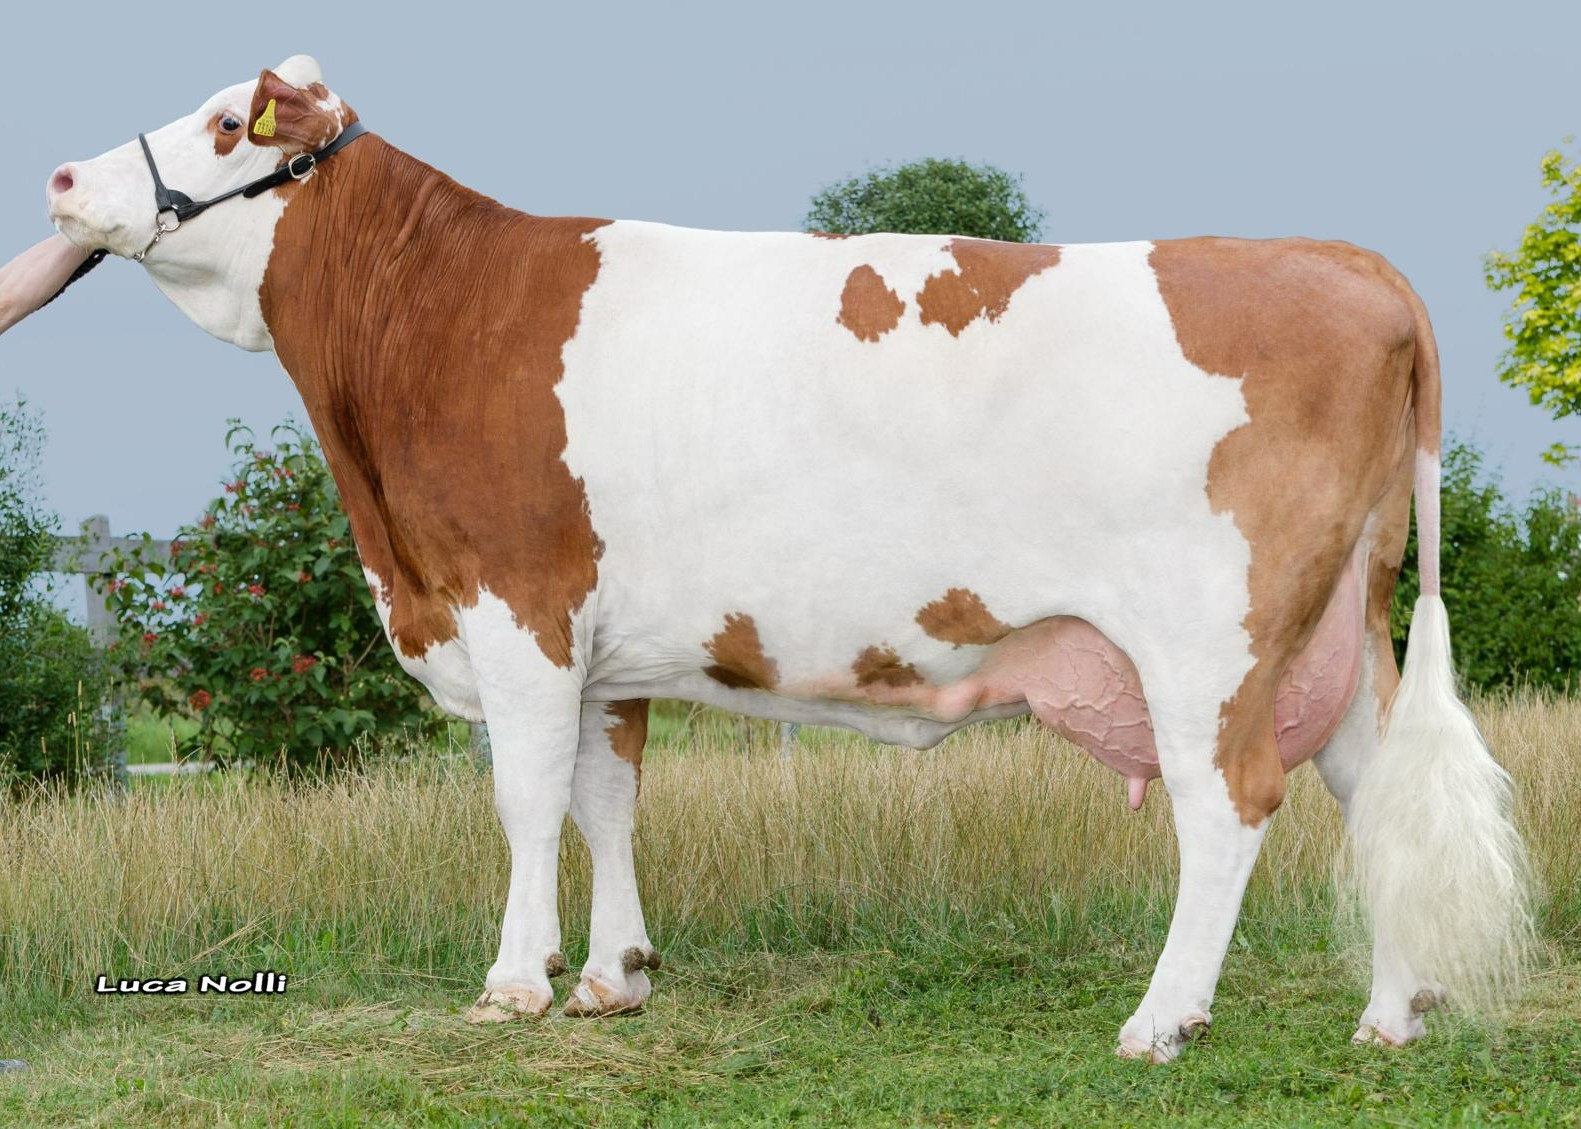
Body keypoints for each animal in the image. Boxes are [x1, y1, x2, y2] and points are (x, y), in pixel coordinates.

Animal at [22, 55, 1531, 1062]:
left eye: (229, 121)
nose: (63, 176)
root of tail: (1340, 258)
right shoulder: (604, 643)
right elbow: (605, 797)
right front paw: (614, 975)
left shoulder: (517, 602)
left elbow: (523, 799)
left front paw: (514, 982)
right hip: (1335, 627)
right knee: (1367, 789)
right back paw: (1390, 1012)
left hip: (1208, 638)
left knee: (1228, 807)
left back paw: (1160, 1019)